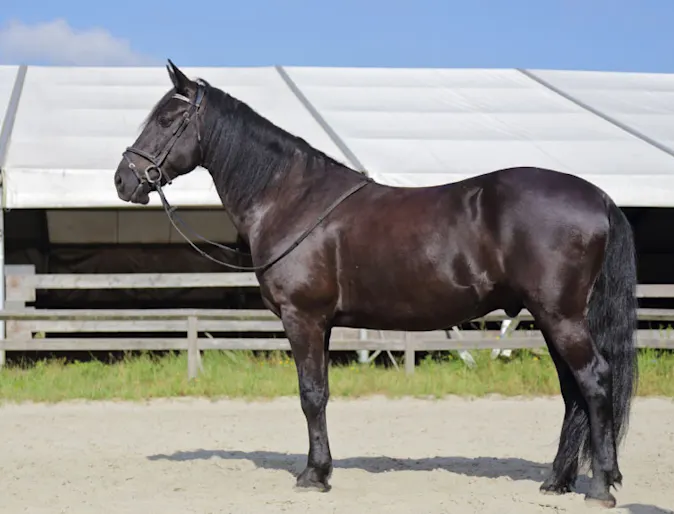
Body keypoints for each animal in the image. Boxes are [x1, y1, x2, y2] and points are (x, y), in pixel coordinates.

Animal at [113, 60, 638, 509]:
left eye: (167, 119)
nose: (123, 180)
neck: (291, 198)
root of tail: (598, 195)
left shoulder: (303, 318)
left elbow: (311, 395)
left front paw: (313, 476)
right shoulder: (323, 324)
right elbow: (320, 392)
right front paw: (321, 470)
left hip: (561, 316)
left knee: (595, 380)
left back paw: (600, 486)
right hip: (552, 318)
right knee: (572, 392)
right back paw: (557, 482)